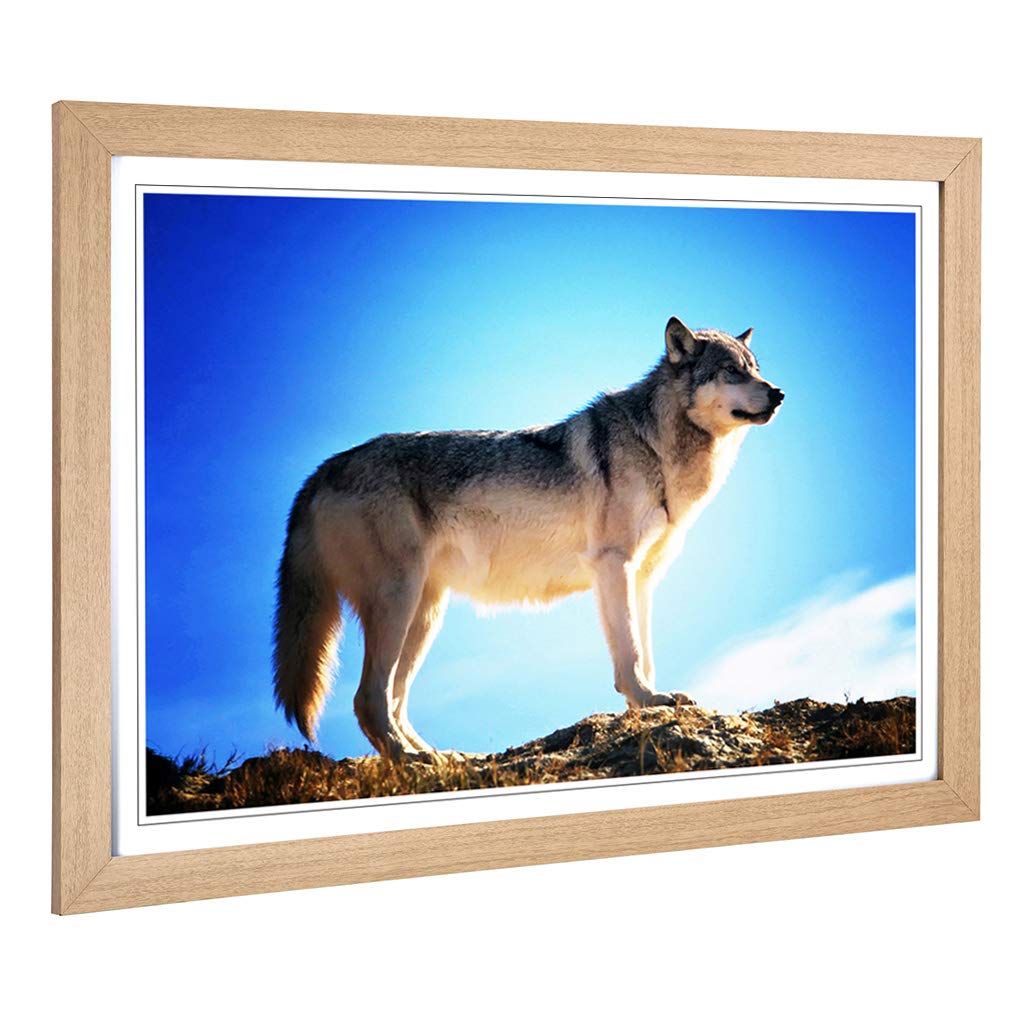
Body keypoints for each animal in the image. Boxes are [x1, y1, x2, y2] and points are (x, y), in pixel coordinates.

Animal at [273, 318, 784, 759]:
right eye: (732, 371)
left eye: (756, 368)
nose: (779, 393)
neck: (656, 445)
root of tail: (322, 470)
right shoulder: (612, 565)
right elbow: (630, 653)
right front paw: (645, 700)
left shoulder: (642, 579)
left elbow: (647, 652)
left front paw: (651, 702)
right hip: (398, 602)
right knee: (367, 699)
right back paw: (409, 760)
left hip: (425, 615)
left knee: (394, 700)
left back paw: (439, 758)